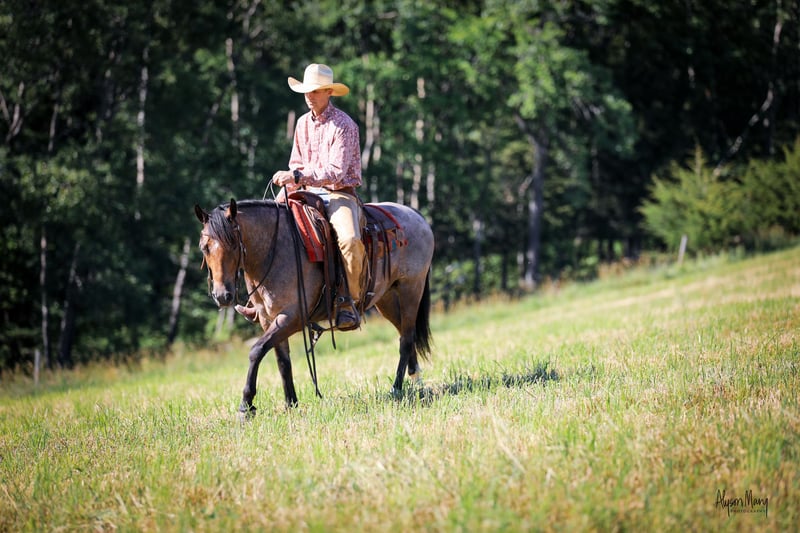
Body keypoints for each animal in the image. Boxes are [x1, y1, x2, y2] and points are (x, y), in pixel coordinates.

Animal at [194, 197, 434, 414]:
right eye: (204, 247)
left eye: (233, 244)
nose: (222, 296)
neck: (276, 250)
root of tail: (417, 217)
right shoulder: (268, 319)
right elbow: (282, 361)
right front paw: (291, 403)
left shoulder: (292, 317)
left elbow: (257, 350)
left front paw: (246, 405)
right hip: (388, 299)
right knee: (405, 334)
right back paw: (416, 379)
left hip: (410, 289)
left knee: (406, 339)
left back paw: (396, 388)